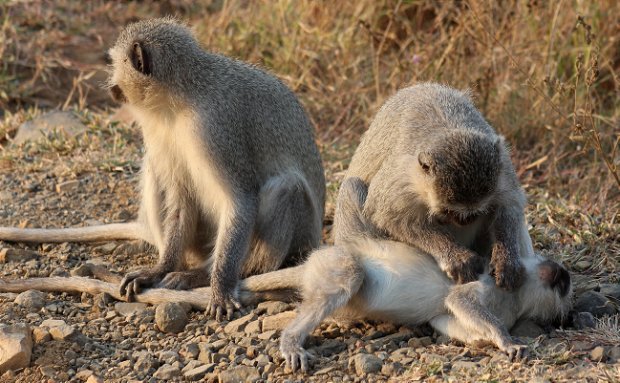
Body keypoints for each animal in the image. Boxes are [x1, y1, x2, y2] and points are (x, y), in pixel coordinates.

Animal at [0, 18, 326, 322]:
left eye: (115, 64)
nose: (111, 86)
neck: (180, 97)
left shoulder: (214, 126)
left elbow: (241, 199)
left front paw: (220, 286)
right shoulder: (156, 126)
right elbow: (180, 199)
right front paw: (158, 269)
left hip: (297, 241)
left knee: (287, 187)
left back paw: (218, 273)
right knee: (156, 169)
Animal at [240, 178, 572, 374]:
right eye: (564, 286)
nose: (563, 275)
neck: (517, 297)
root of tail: (319, 258)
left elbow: (445, 317)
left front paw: (482, 341)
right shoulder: (495, 282)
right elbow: (460, 298)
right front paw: (504, 340)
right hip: (336, 261)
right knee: (350, 276)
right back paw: (292, 340)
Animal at [334, 82, 528, 290]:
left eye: (475, 212)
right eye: (447, 212)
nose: (466, 221)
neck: (450, 126)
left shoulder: (502, 167)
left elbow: (508, 205)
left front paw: (505, 258)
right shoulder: (401, 180)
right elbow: (391, 217)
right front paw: (454, 256)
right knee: (352, 186)